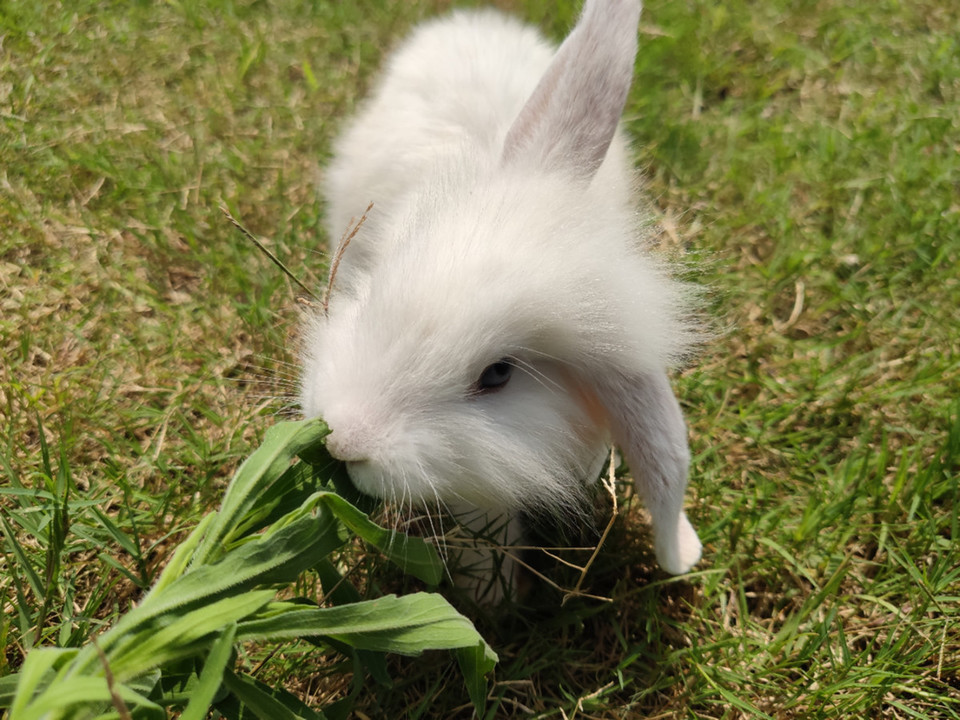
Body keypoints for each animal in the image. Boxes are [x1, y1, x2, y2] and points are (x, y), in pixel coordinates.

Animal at [300, 0, 704, 600]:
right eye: (385, 284)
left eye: (497, 375)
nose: (346, 438)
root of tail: (474, 20)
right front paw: (488, 594)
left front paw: (491, 596)